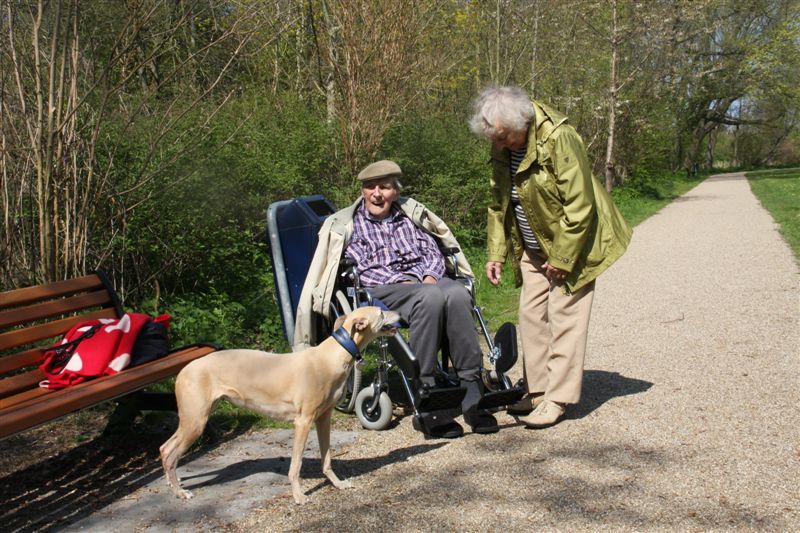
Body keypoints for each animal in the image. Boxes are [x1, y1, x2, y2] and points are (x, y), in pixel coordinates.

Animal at [159, 306, 399, 504]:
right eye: (380, 313)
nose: (398, 313)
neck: (332, 356)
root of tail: (183, 371)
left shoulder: (323, 418)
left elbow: (327, 459)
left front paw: (338, 484)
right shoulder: (303, 421)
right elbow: (295, 465)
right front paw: (299, 496)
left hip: (193, 418)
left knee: (164, 447)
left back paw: (174, 483)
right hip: (195, 420)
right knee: (169, 451)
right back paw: (179, 492)